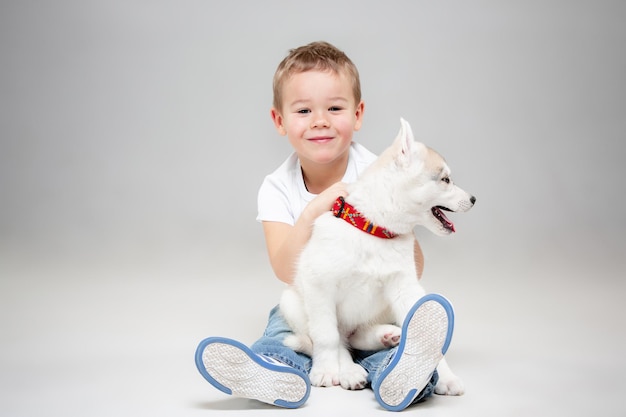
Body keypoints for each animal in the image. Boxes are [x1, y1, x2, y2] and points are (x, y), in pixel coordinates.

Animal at [278, 117, 472, 394]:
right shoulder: (319, 285)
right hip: (291, 301)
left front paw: (444, 376)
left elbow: (425, 338)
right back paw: (349, 370)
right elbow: (326, 337)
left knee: (357, 338)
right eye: (445, 180)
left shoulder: (406, 289)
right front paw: (326, 370)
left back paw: (388, 336)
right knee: (338, 340)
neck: (373, 229)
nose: (474, 199)